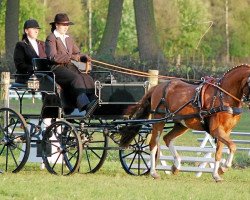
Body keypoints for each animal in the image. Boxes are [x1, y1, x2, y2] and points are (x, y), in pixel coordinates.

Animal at [119, 63, 250, 181]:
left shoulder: (226, 131)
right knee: (153, 144)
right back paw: (153, 172)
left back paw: (176, 165)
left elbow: (219, 152)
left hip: (182, 124)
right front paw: (224, 168)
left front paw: (216, 174)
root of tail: (158, 87)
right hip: (159, 120)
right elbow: (233, 146)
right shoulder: (216, 130)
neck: (223, 95)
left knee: (167, 138)